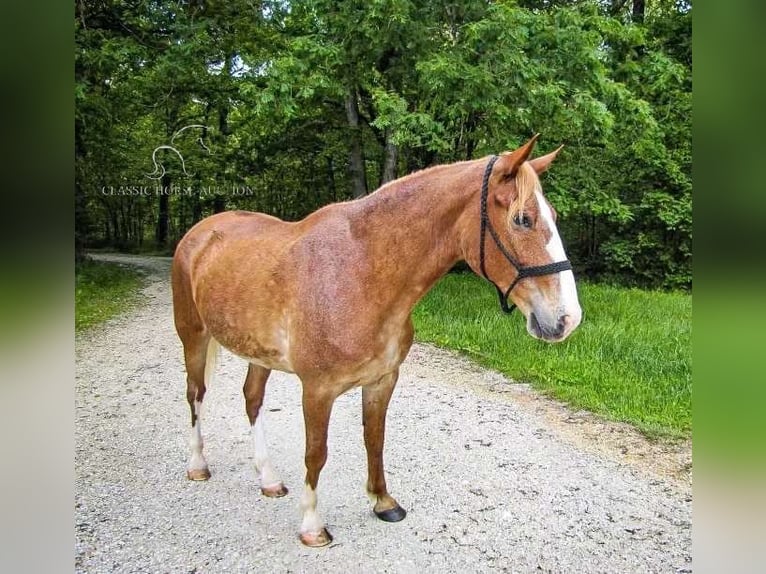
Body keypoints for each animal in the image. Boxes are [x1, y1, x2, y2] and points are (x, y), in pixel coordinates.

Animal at [172, 135, 584, 548]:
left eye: (553, 216)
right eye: (522, 219)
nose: (568, 319)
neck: (361, 272)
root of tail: (202, 231)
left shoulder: (382, 381)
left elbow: (375, 438)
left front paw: (383, 502)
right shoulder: (317, 389)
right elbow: (316, 452)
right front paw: (312, 526)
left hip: (259, 354)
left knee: (253, 400)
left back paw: (269, 479)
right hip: (193, 336)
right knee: (195, 393)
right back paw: (197, 465)